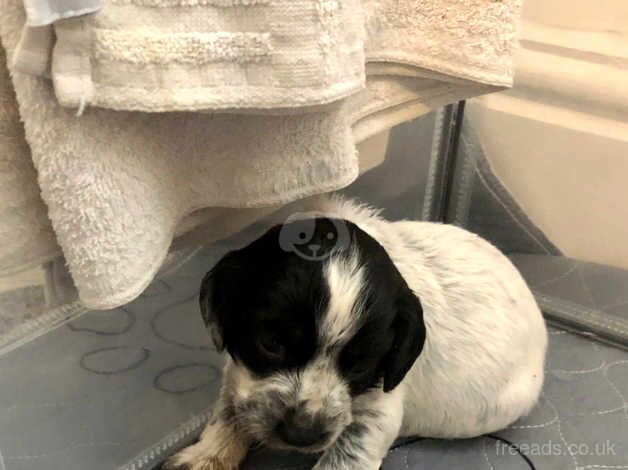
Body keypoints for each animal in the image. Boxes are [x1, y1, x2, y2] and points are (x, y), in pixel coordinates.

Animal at [164, 197, 548, 470]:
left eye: (361, 366)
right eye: (270, 345)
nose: (301, 435)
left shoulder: (374, 414)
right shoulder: (237, 372)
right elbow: (229, 410)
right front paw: (206, 455)